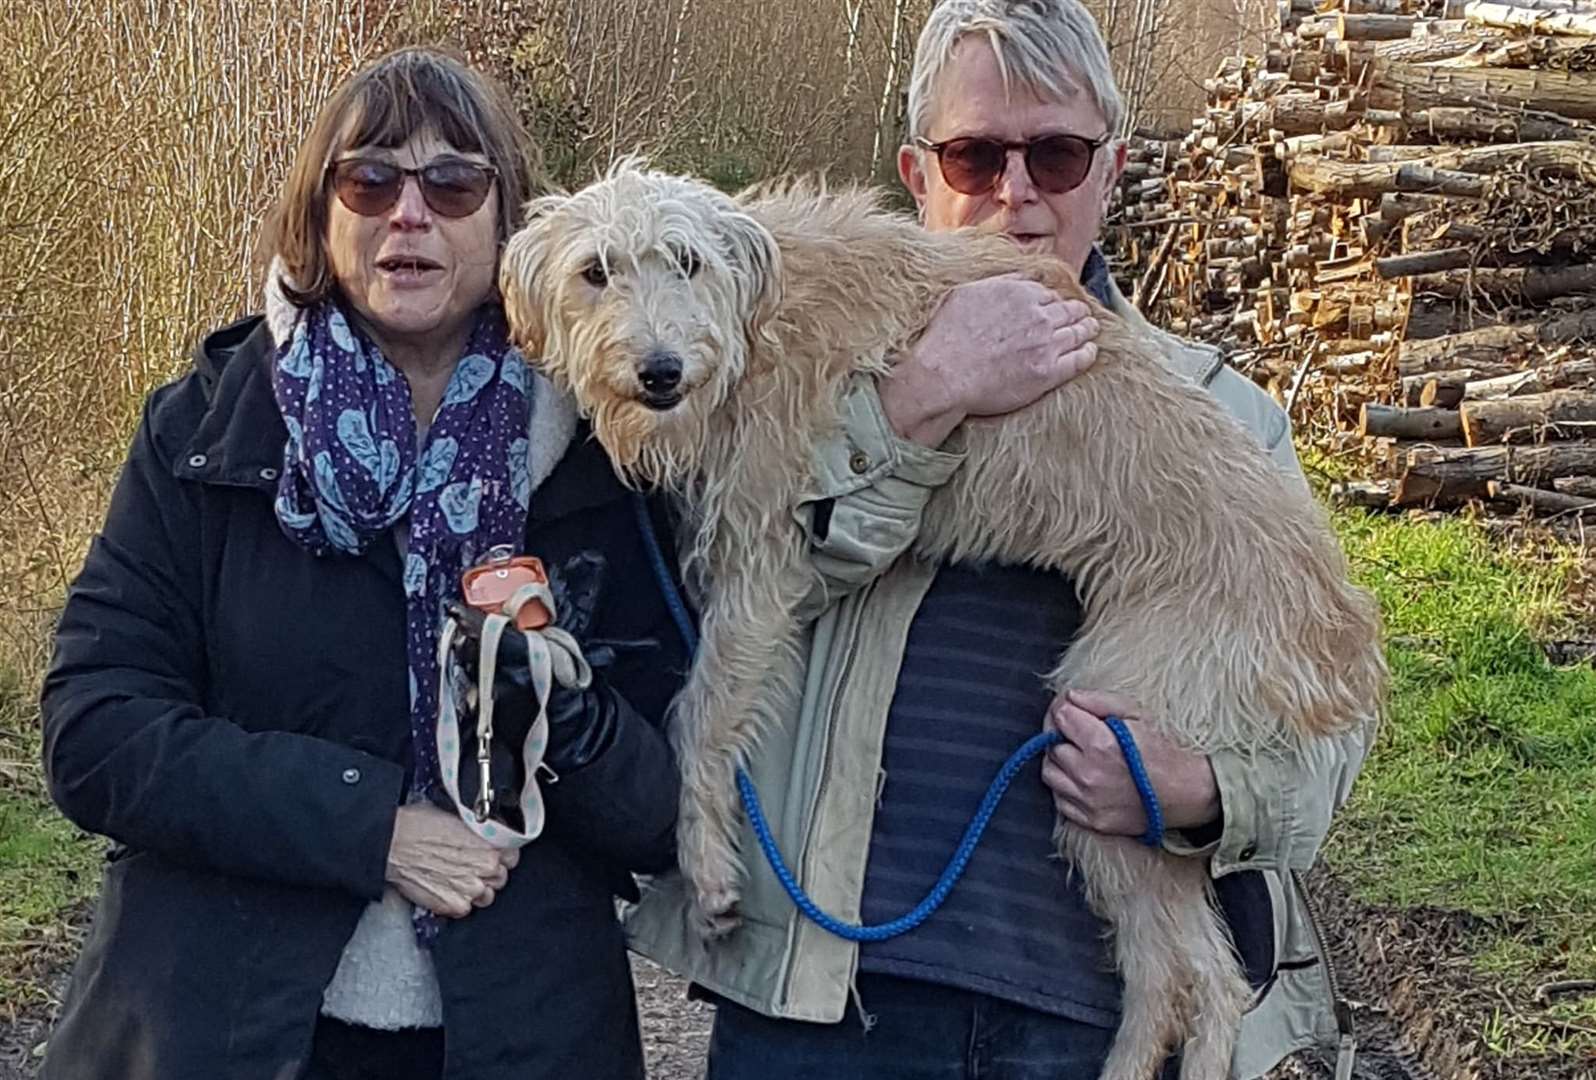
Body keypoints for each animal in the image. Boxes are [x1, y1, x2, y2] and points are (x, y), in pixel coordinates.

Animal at [497, 161, 1385, 1078]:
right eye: (595, 271)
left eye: (686, 261)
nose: (662, 371)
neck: (760, 315)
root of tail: (1345, 633)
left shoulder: (766, 559)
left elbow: (701, 716)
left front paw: (708, 872)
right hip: (1125, 790)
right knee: (1191, 978)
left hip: (1119, 749)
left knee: (1197, 981)